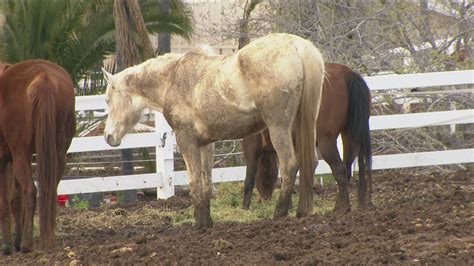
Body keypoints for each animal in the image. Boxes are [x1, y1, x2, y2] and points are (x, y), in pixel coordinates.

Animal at [0, 59, 76, 254]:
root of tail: (44, 76)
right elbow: (16, 201)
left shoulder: (3, 160)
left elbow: (5, 202)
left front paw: (8, 245)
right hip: (58, 157)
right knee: (49, 192)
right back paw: (46, 239)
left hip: (21, 155)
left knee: (30, 190)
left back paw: (27, 244)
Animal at [103, 33, 326, 228]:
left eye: (107, 100)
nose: (108, 137)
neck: (173, 78)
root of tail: (298, 46)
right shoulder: (205, 144)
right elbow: (206, 181)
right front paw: (207, 222)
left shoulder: (187, 141)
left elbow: (194, 181)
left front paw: (198, 224)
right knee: (310, 162)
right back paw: (301, 211)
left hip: (278, 128)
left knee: (289, 164)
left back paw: (279, 214)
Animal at [243, 62, 372, 212]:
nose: (262, 199)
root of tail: (347, 73)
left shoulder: (252, 146)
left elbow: (249, 178)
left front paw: (244, 207)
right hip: (349, 136)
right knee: (347, 170)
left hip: (326, 142)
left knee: (340, 170)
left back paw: (342, 208)